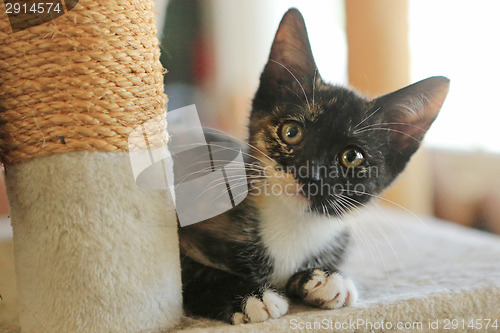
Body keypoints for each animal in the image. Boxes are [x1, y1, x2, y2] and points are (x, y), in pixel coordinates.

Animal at [179, 7, 450, 322]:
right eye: (291, 132)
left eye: (352, 157)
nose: (310, 174)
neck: (294, 223)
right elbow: (192, 273)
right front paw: (251, 297)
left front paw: (323, 279)